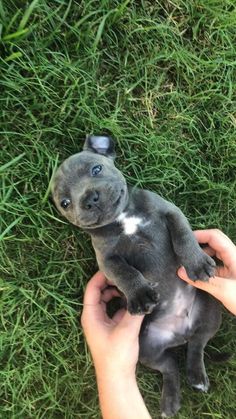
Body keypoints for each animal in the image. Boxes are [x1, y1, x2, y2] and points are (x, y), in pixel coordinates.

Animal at [51, 136, 221, 418]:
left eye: (96, 169)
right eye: (65, 203)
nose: (89, 199)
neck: (122, 218)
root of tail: (180, 333)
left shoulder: (170, 211)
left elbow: (183, 236)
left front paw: (196, 262)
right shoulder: (107, 259)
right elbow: (125, 273)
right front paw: (140, 296)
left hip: (210, 310)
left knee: (198, 343)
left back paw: (196, 375)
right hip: (147, 349)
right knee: (170, 365)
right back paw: (171, 399)